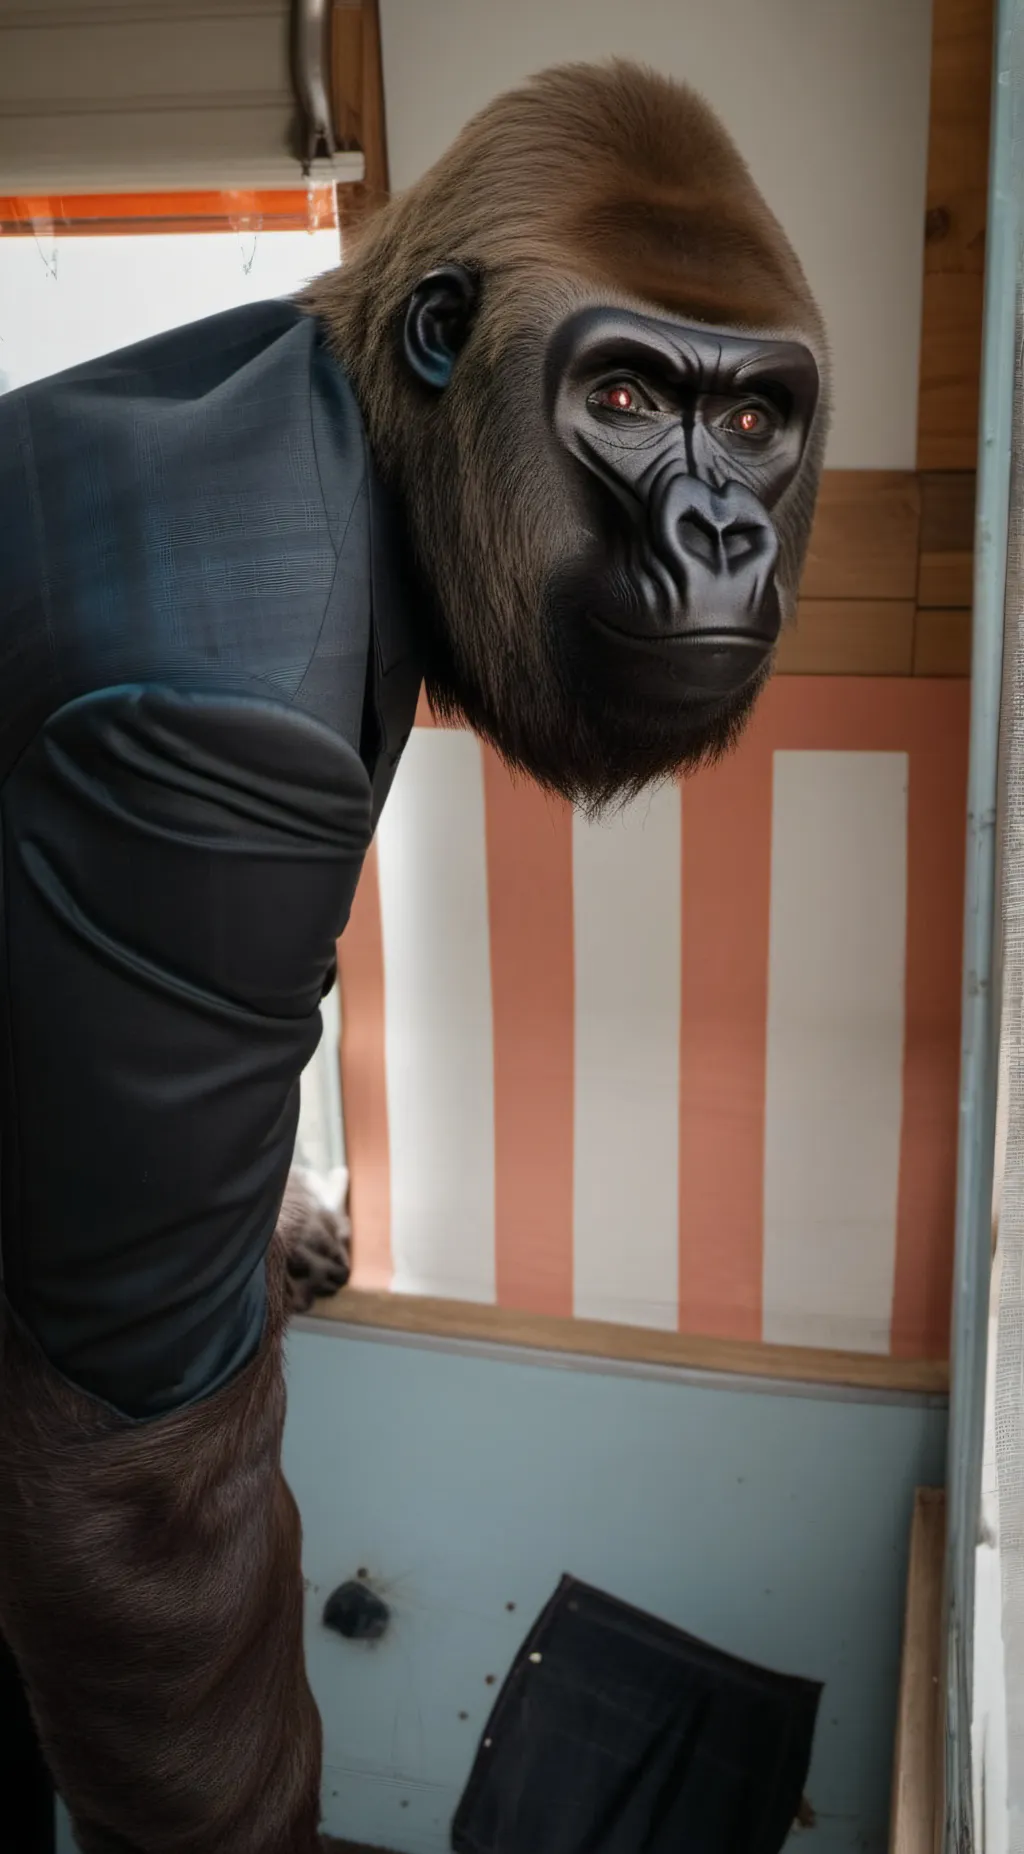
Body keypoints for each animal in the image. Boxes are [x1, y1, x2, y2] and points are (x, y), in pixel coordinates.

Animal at [0, 59, 827, 1853]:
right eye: (624, 395)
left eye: (753, 423)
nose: (726, 530)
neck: (375, 444)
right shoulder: (211, 741)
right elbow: (136, 1492)